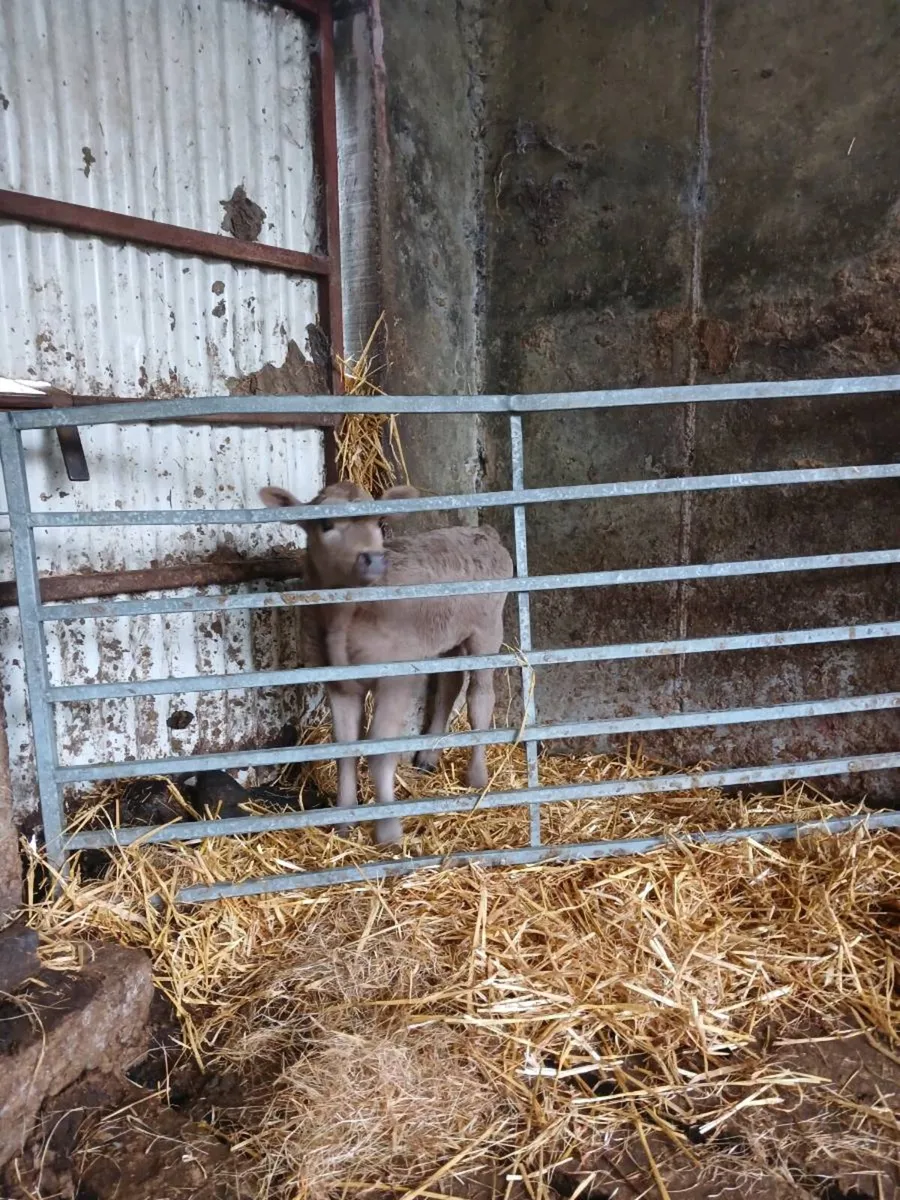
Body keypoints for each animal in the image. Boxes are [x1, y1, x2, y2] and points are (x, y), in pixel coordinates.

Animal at [259, 481, 512, 844]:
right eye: (325, 523)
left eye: (380, 522)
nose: (374, 558)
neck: (343, 617)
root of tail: (481, 531)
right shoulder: (338, 684)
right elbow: (344, 749)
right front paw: (344, 822)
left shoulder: (395, 679)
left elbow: (381, 750)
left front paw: (388, 831)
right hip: (443, 637)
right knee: (448, 686)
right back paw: (428, 758)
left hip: (487, 629)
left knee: (480, 696)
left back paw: (477, 777)